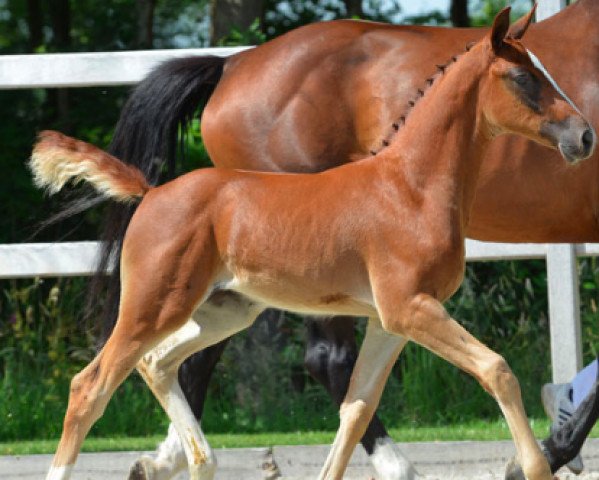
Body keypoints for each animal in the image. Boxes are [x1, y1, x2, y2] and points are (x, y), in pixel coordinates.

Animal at [31, 7, 596, 480]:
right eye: (523, 77)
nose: (584, 135)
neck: (410, 185)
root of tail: (151, 192)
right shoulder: (410, 308)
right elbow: (497, 370)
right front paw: (535, 465)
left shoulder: (389, 321)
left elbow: (355, 409)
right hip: (152, 305)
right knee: (91, 386)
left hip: (225, 310)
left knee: (161, 363)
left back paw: (197, 461)